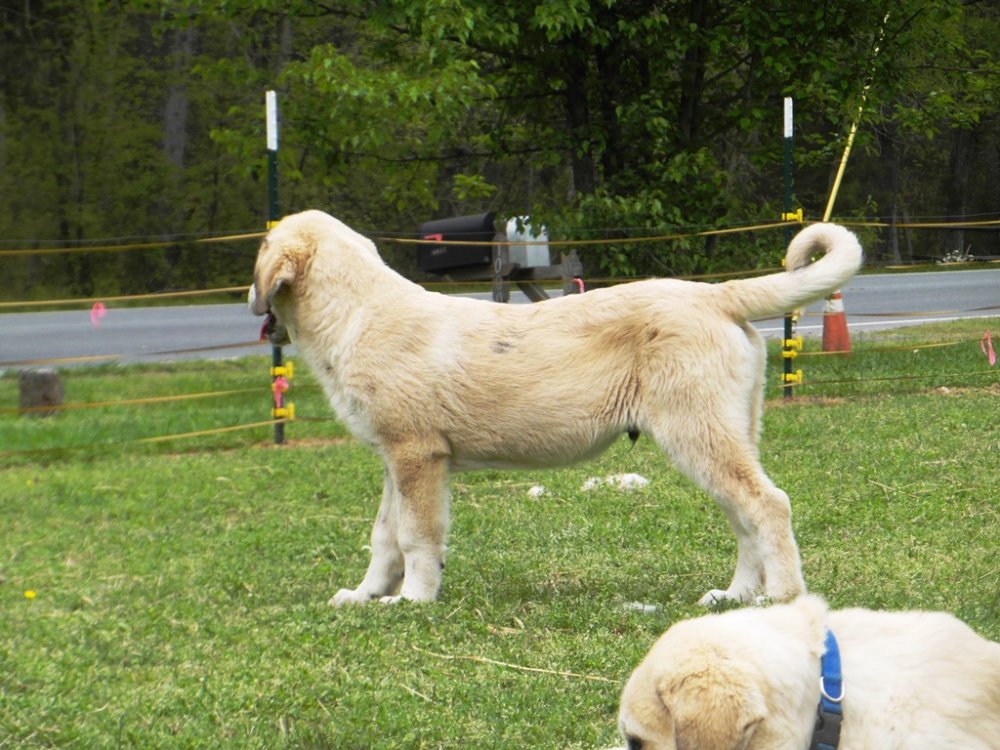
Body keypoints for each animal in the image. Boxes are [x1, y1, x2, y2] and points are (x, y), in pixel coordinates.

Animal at [248, 210, 860, 604]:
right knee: (744, 517)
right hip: (722, 438)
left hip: (697, 435)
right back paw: (735, 596)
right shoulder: (393, 463)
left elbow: (416, 538)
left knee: (769, 506)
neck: (357, 312)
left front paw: (414, 602)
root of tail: (716, 294)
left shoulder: (417, 458)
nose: (247, 297)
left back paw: (782, 598)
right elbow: (383, 537)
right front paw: (364, 595)